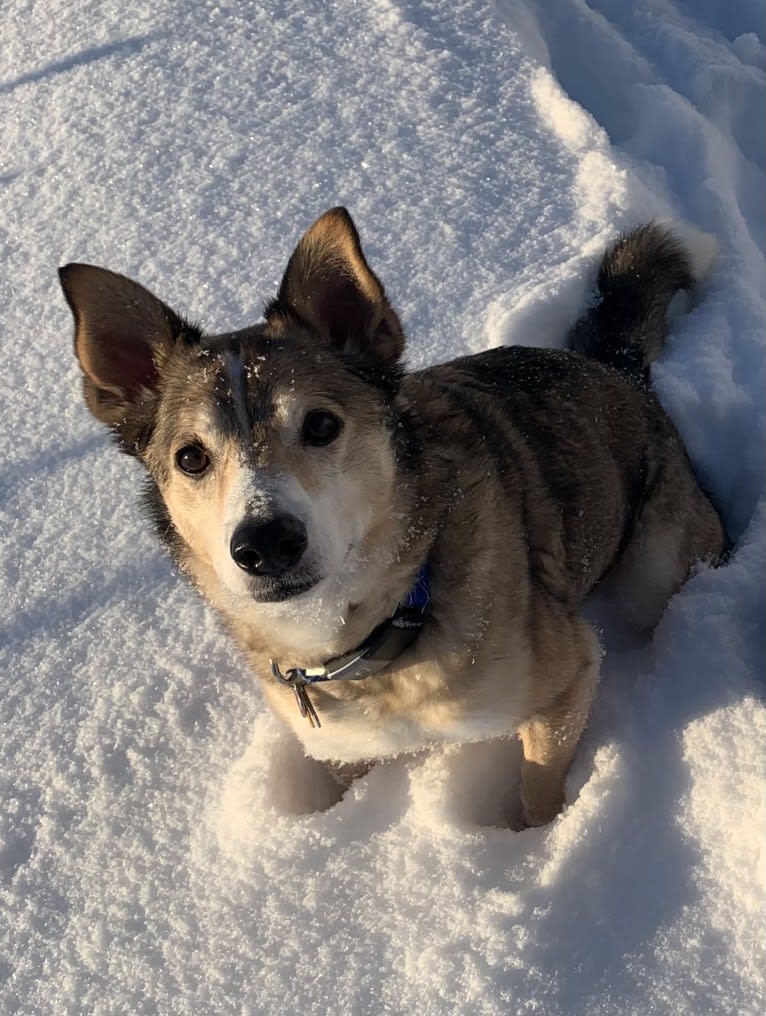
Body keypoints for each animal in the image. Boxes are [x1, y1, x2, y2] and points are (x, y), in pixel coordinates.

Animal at [58, 208, 723, 824]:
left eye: (321, 424)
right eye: (191, 457)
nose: (265, 543)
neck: (380, 632)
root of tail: (618, 367)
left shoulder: (568, 678)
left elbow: (540, 783)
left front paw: (536, 846)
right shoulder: (342, 742)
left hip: (654, 564)